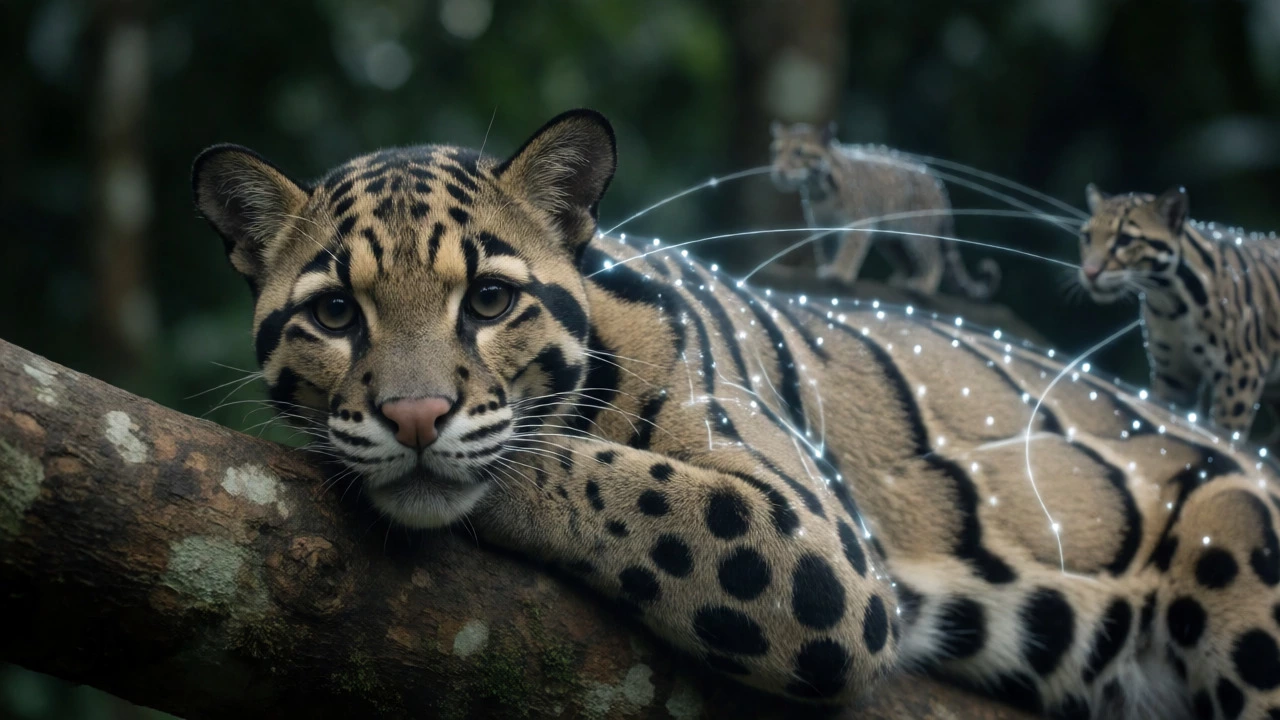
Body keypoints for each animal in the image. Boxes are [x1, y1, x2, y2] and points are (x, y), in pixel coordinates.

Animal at [769, 120, 1000, 300]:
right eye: (777, 152)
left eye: (799, 152)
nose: (778, 170)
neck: (819, 191)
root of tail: (937, 184)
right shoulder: (822, 228)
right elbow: (826, 251)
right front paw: (827, 267)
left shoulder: (858, 224)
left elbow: (849, 250)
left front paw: (839, 271)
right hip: (892, 241)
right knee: (907, 261)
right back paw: (902, 279)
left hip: (918, 232)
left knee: (934, 259)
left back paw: (923, 284)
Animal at [1080, 184, 1280, 438]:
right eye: (1087, 237)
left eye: (1125, 239)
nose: (1089, 272)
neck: (1171, 303)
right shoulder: (1173, 376)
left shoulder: (1242, 373)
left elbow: (1225, 433)